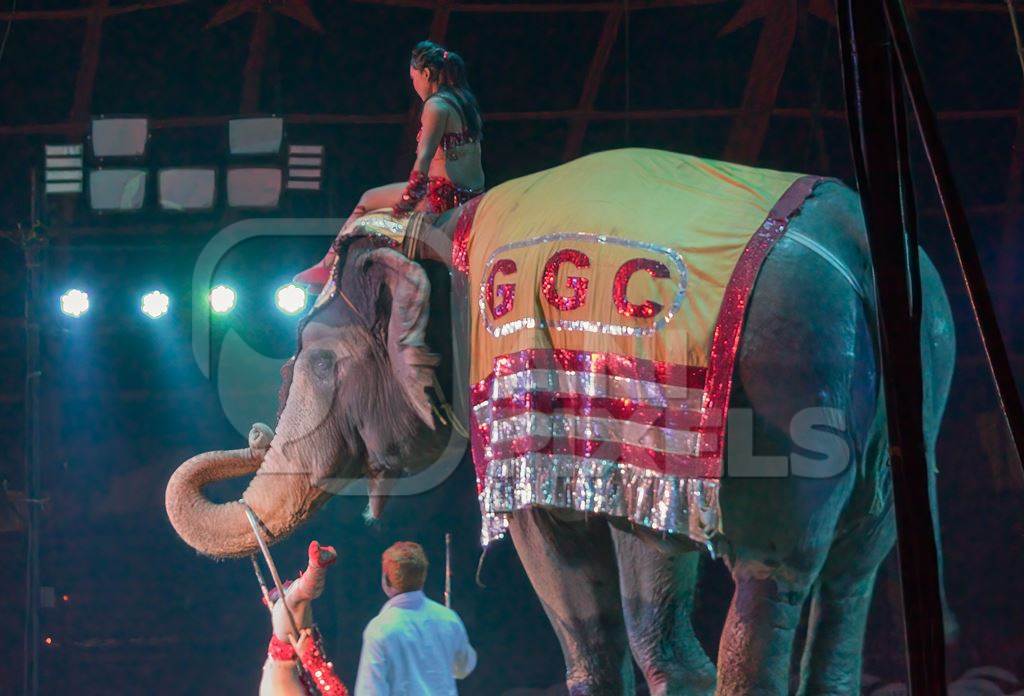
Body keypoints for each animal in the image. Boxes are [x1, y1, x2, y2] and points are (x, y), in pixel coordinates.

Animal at [163, 158, 954, 696]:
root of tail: (855, 247)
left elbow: (553, 558)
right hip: (911, 390)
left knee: (743, 589)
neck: (439, 232)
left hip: (784, 384)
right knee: (852, 572)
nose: (254, 434)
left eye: (319, 361)